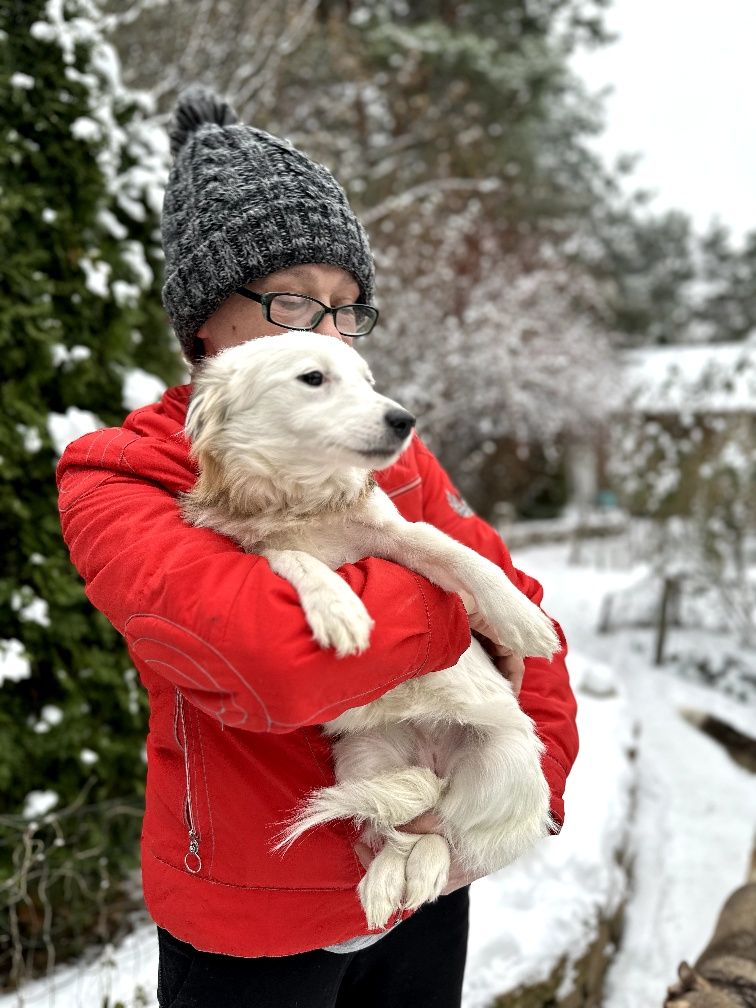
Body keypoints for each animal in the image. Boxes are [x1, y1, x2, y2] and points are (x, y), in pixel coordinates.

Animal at [182, 330, 564, 927]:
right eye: (313, 378)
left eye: (369, 381)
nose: (405, 419)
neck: (303, 503)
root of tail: (434, 763)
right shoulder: (259, 554)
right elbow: (295, 559)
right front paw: (339, 606)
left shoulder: (399, 534)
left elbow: (461, 554)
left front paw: (522, 617)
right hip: (365, 757)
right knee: (407, 828)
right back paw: (386, 881)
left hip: (501, 761)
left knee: (448, 827)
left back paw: (419, 872)